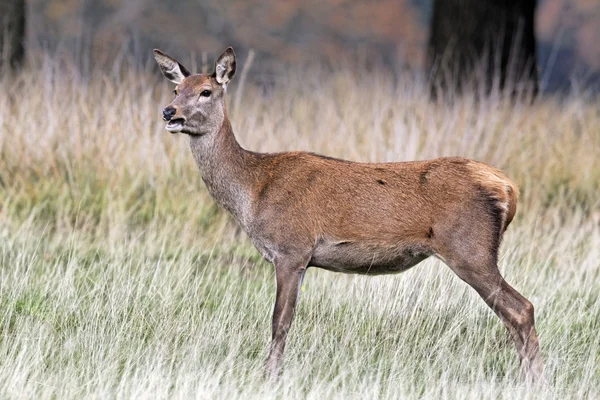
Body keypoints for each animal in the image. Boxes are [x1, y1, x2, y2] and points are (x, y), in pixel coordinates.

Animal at [151, 47, 544, 382]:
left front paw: (269, 378)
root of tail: (509, 188)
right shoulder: (298, 258)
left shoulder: (292, 249)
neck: (253, 192)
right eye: (175, 88)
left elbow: (280, 322)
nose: (169, 112)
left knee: (521, 308)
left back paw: (535, 381)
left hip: (469, 247)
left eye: (205, 91)